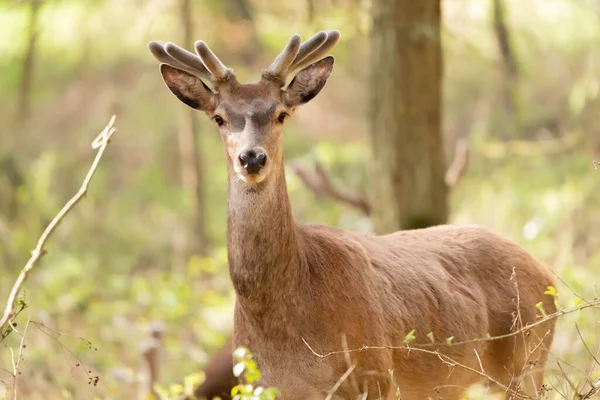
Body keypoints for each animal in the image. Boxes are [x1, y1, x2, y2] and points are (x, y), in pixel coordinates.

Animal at [149, 29, 556, 398]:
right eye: (219, 117)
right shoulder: (254, 382)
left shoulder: (374, 373)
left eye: (281, 114)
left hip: (526, 360)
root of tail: (548, 277)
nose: (251, 158)